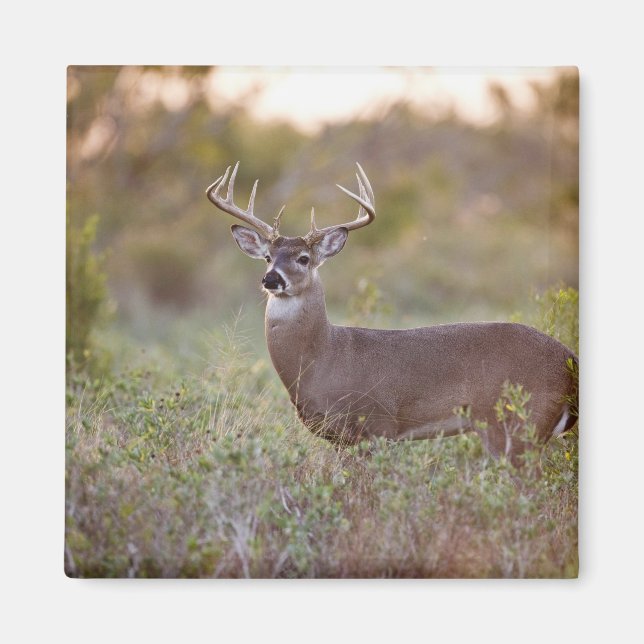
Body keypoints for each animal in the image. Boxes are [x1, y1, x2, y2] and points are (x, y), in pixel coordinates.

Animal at [206, 162, 578, 466]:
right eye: (268, 257)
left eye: (303, 258)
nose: (271, 279)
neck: (323, 357)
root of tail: (570, 361)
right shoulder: (341, 439)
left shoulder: (377, 425)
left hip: (517, 424)